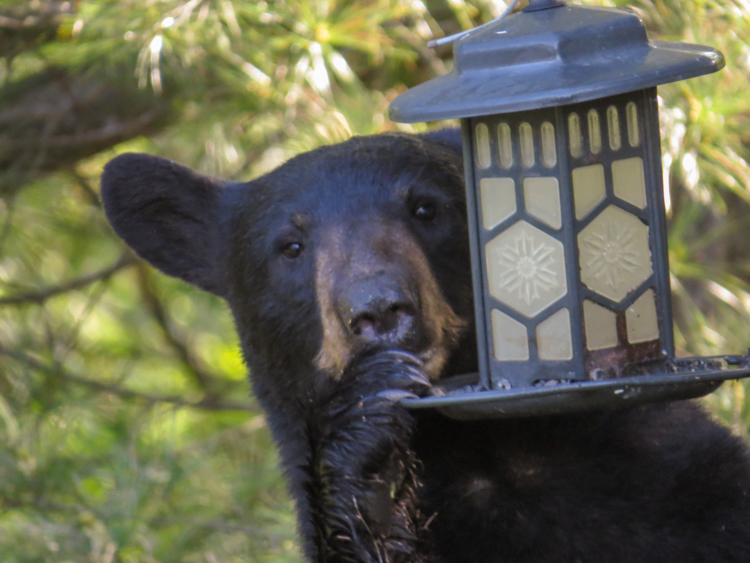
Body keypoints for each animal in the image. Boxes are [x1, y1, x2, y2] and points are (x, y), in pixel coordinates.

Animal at [103, 130, 750, 560]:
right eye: (289, 245)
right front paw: (367, 429)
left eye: (424, 208)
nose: (378, 309)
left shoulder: (685, 488)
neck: (491, 451)